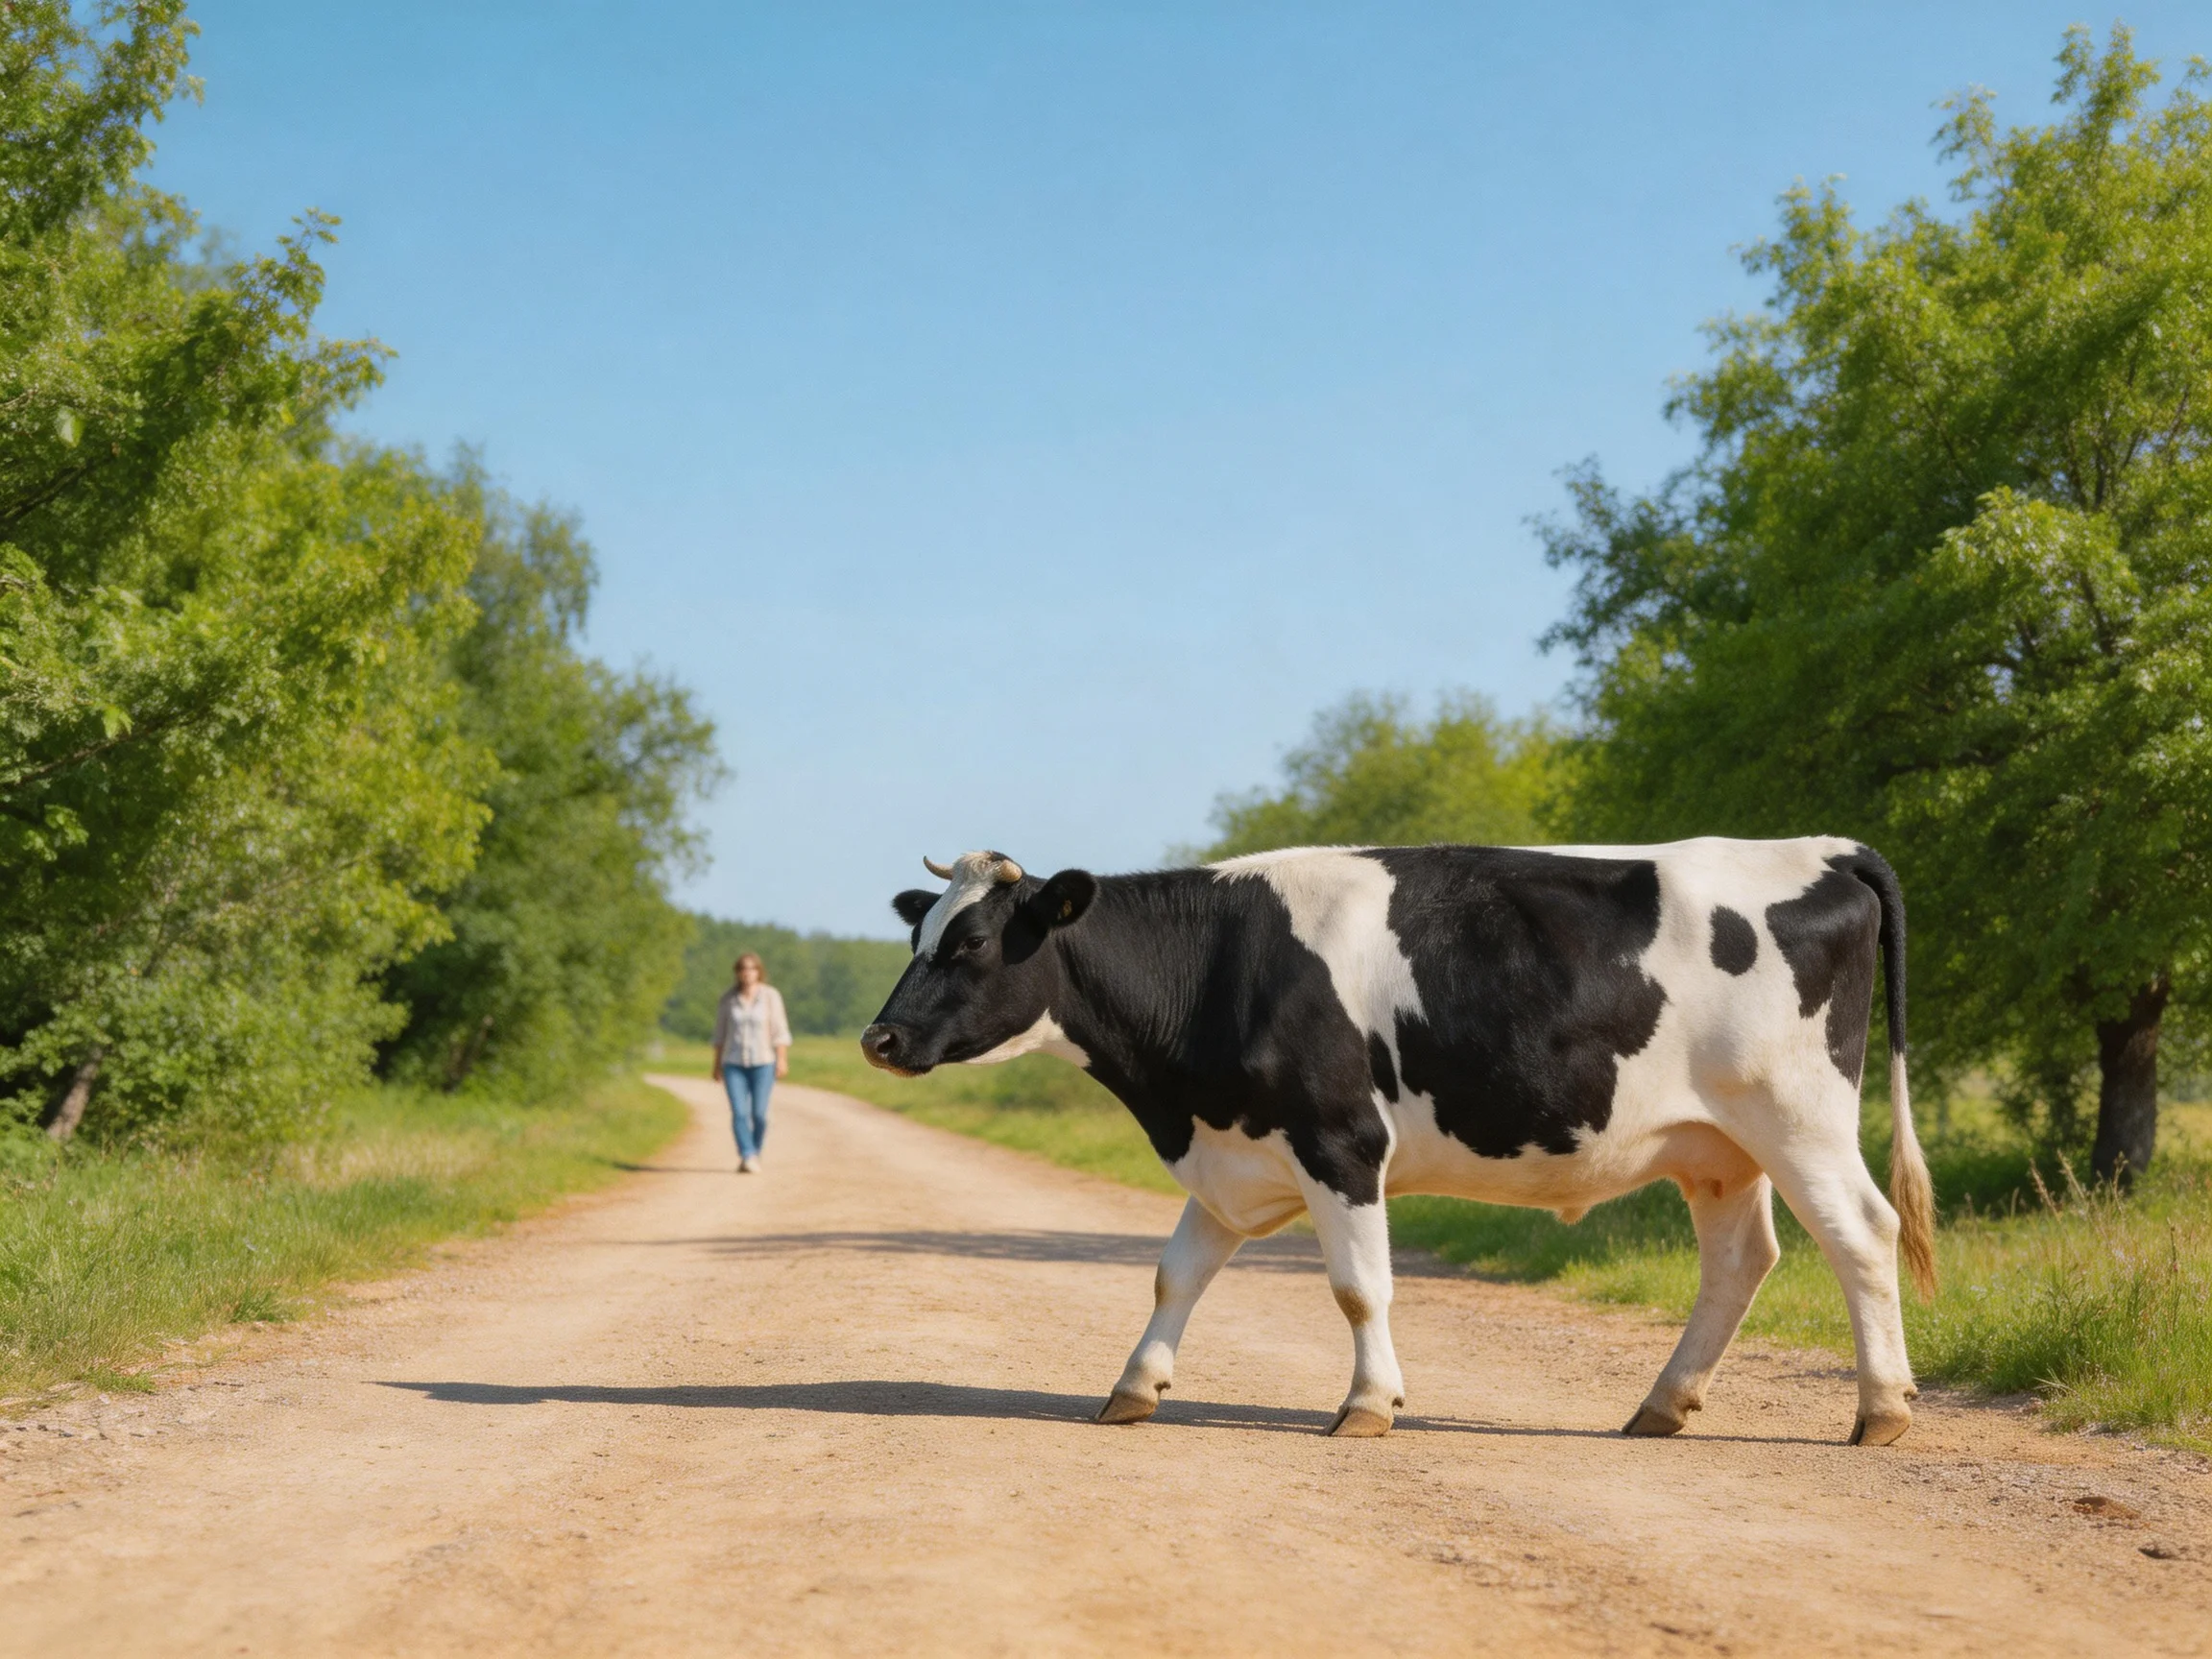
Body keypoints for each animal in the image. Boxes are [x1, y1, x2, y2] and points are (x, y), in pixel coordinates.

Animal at [861, 839, 1937, 1445]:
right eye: (919, 939)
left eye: (973, 944)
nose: (880, 1039)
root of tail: (1826, 847)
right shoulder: (1230, 1152)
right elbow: (1176, 1275)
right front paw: (1135, 1386)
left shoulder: (1339, 1143)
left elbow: (1357, 1287)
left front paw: (1369, 1405)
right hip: (1718, 1145)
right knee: (1742, 1258)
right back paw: (1662, 1406)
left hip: (1797, 1112)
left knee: (1862, 1233)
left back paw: (1882, 1409)